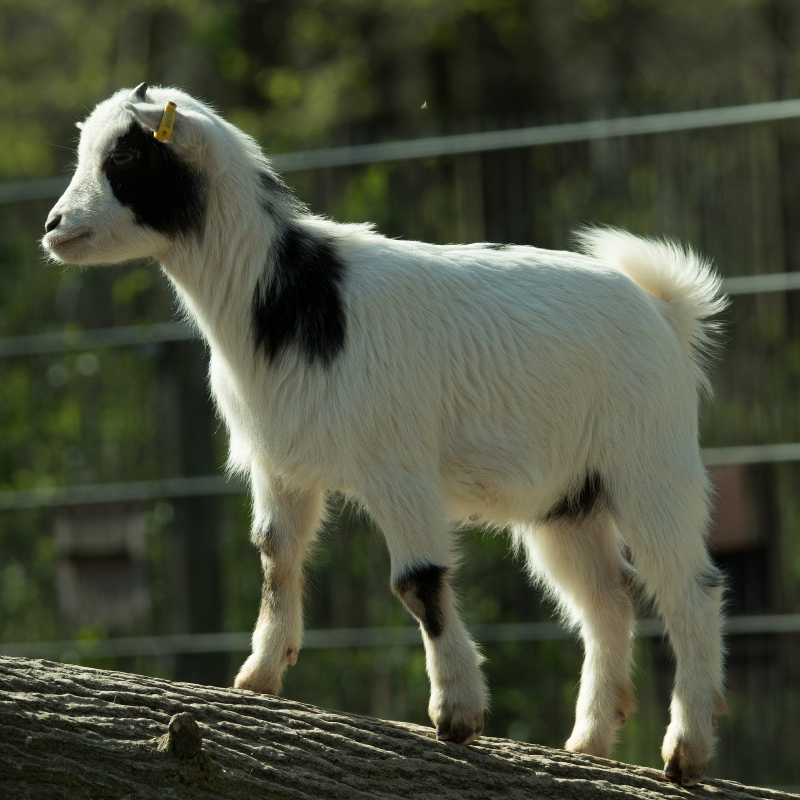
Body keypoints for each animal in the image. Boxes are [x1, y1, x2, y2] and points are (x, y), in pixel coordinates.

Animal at [42, 83, 727, 786]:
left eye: (125, 156)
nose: (54, 227)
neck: (291, 300)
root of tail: (664, 309)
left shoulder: (397, 466)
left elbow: (418, 582)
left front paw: (457, 713)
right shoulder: (280, 465)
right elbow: (275, 556)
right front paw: (258, 678)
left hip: (650, 463)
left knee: (689, 591)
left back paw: (685, 751)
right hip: (568, 501)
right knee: (606, 601)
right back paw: (587, 743)